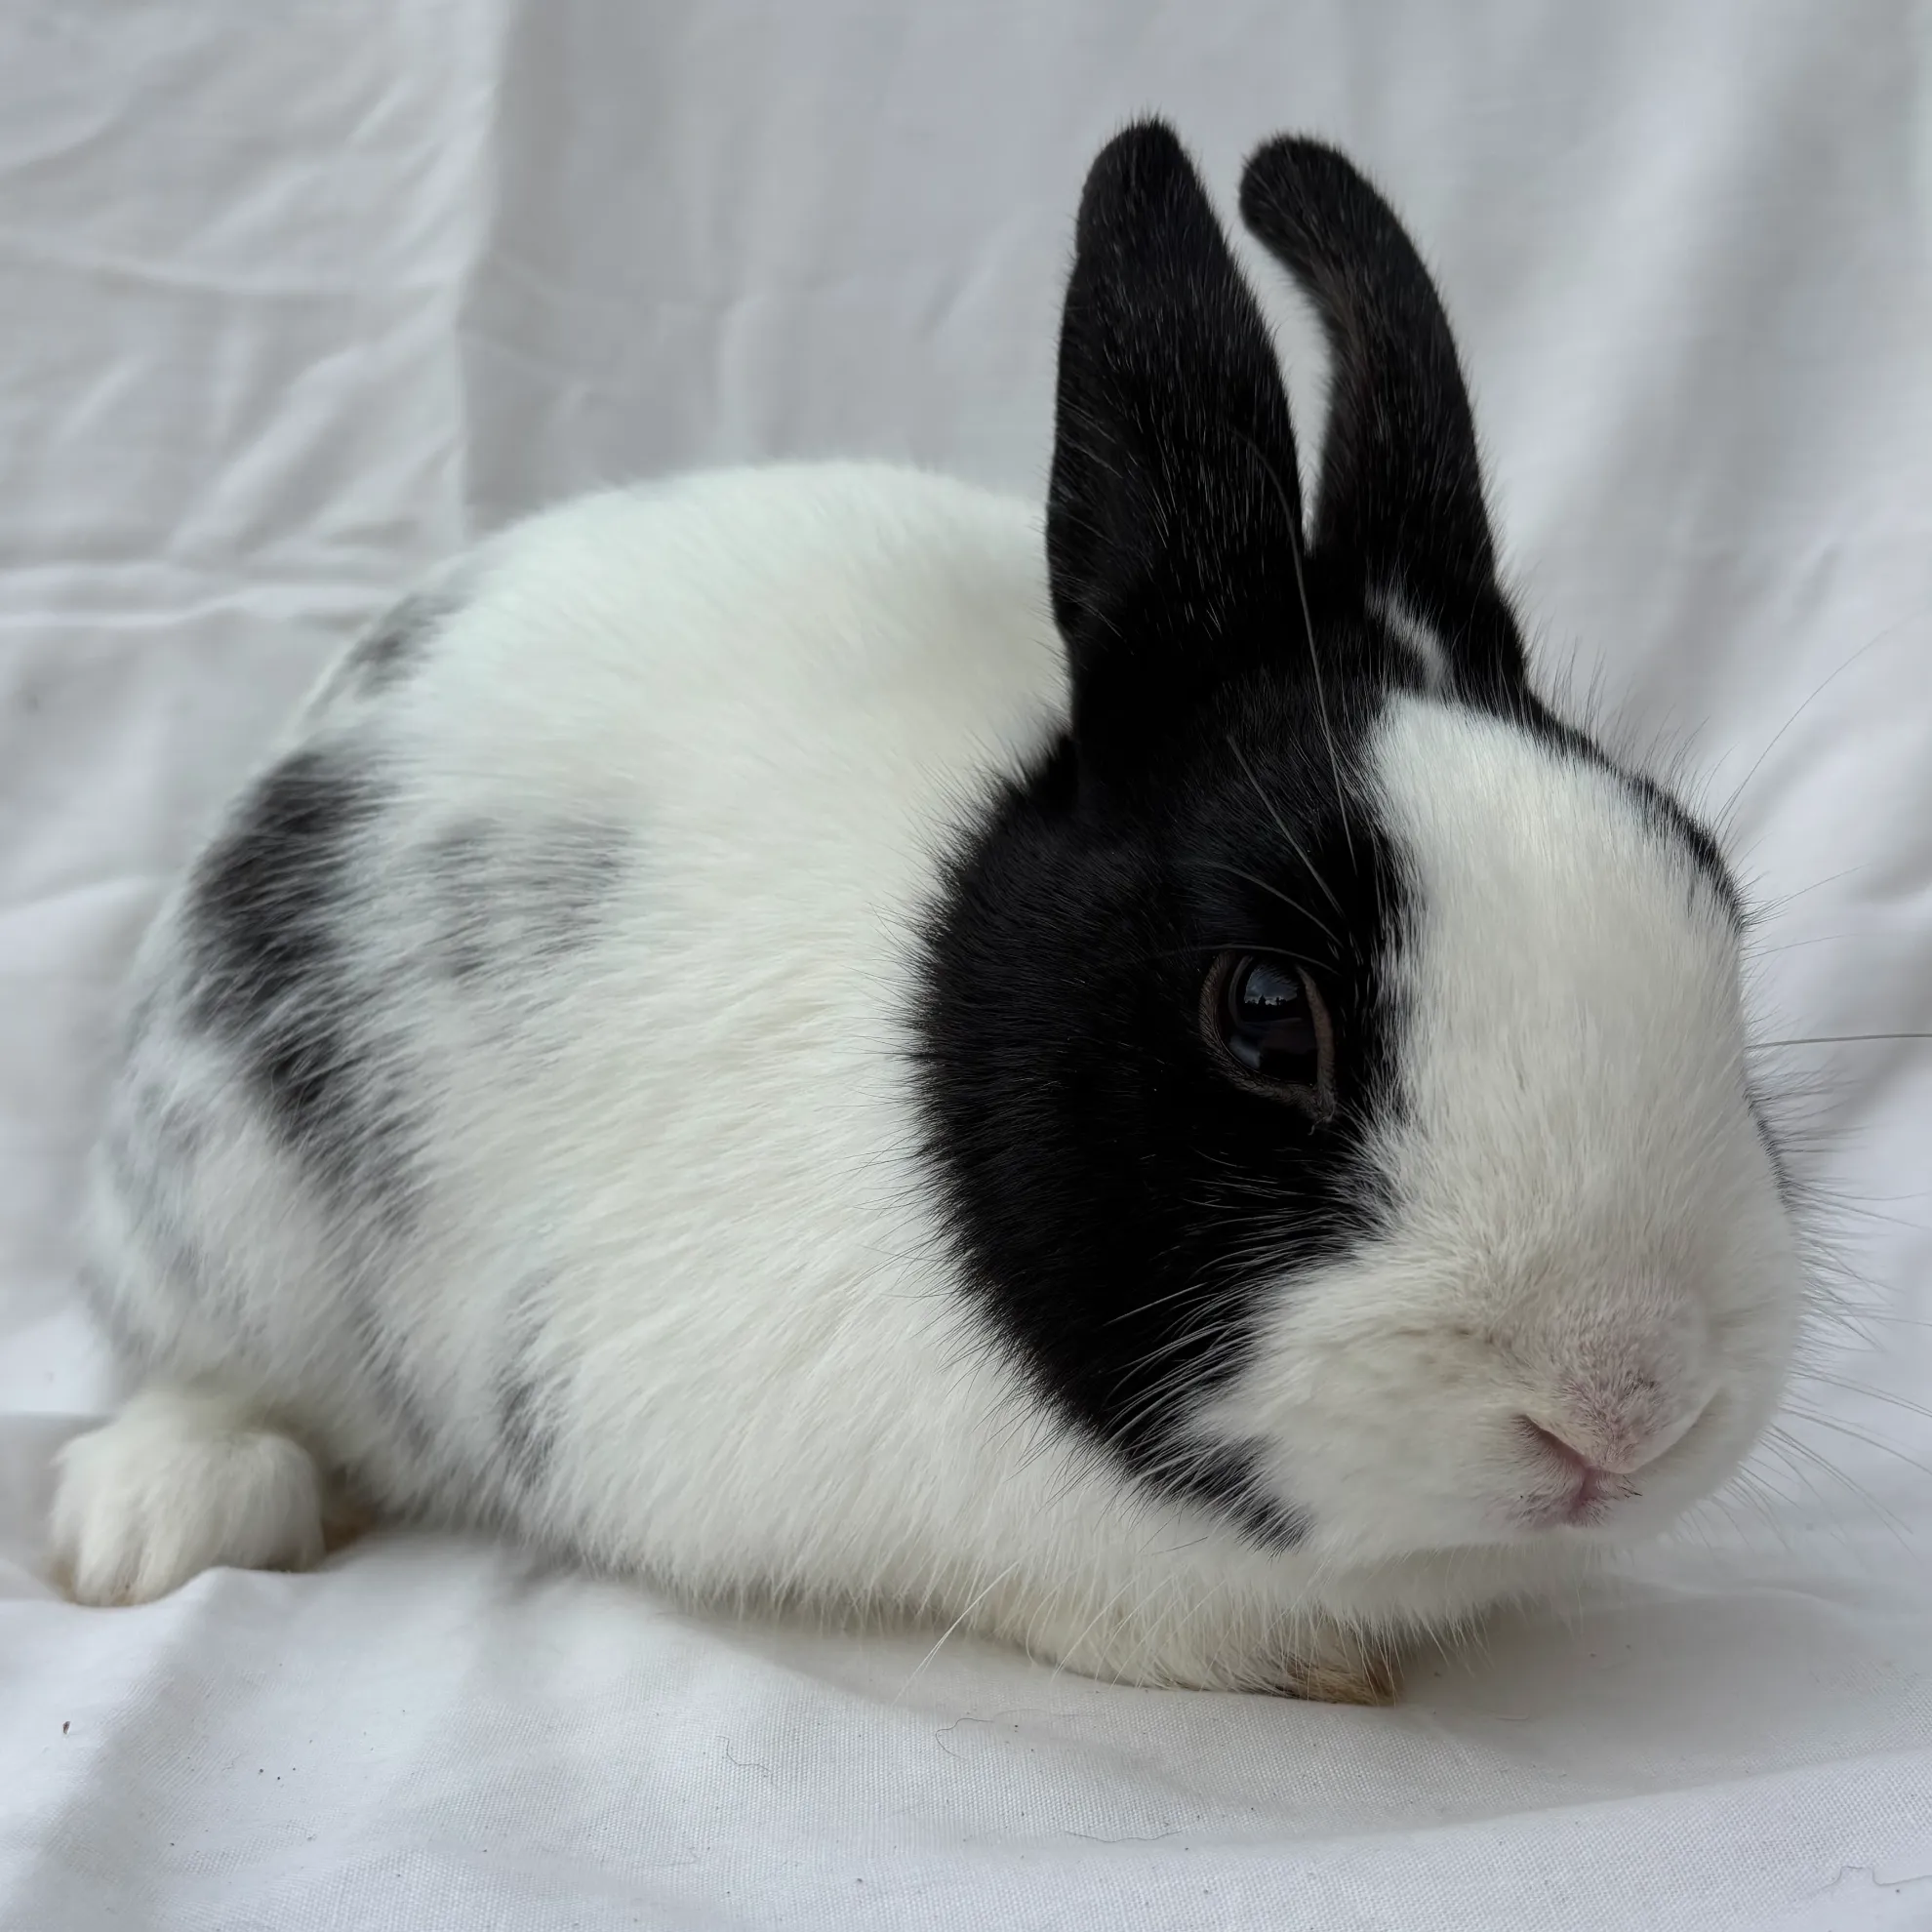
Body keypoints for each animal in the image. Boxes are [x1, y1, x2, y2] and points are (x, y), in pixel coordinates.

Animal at [49, 121, 1801, 1703]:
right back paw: (148, 1527)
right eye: (1263, 1014)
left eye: (1710, 888)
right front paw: (1291, 1662)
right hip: (219, 1189)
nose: (1626, 1406)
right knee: (197, 1363)